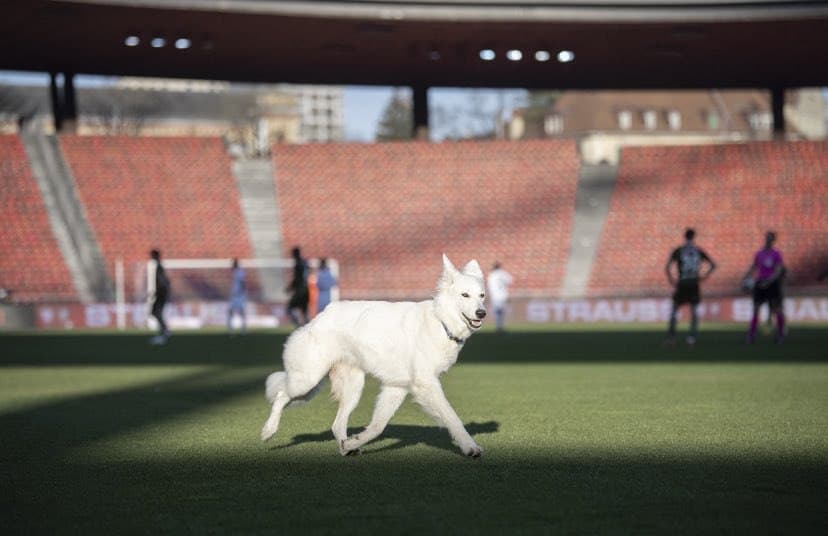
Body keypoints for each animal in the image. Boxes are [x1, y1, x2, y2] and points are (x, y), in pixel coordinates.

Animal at [262, 254, 488, 456]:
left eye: (482, 296)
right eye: (465, 295)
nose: (482, 313)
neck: (441, 322)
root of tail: (320, 316)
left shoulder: (395, 388)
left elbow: (378, 426)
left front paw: (354, 442)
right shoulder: (427, 384)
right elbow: (452, 417)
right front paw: (470, 447)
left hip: (350, 389)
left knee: (337, 424)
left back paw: (347, 449)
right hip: (307, 381)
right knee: (281, 396)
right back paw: (269, 430)